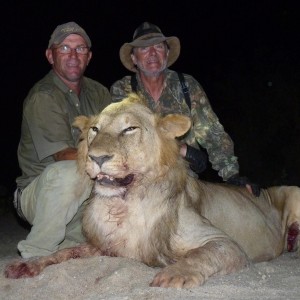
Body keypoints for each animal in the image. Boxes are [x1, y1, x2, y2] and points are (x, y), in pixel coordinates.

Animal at [4, 94, 300, 288]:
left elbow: (202, 254)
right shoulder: (105, 246)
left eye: (129, 129)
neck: (122, 204)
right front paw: (29, 264)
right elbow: (65, 252)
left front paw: (173, 275)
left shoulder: (226, 243)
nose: (96, 157)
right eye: (95, 129)